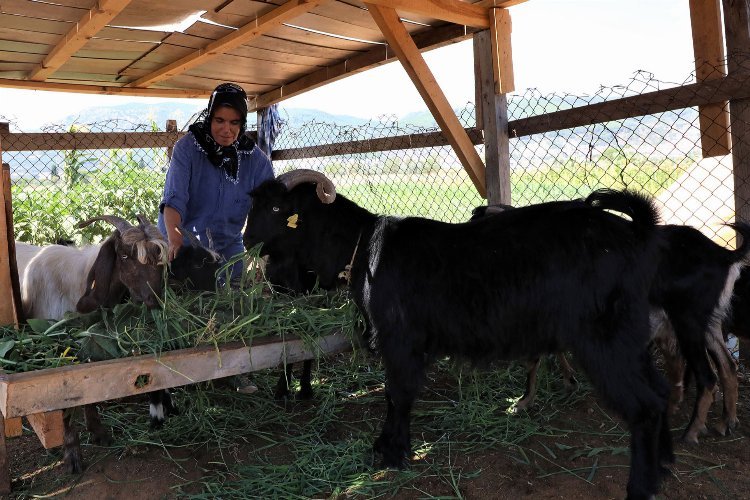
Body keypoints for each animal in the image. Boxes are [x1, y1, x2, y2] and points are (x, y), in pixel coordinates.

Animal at [245, 170, 668, 498]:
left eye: (278, 209)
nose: (247, 241)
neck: (363, 245)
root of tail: (634, 232)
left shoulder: (402, 342)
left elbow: (398, 395)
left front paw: (394, 454)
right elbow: (392, 396)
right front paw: (384, 447)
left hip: (606, 339)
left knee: (644, 407)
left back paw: (640, 487)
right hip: (630, 338)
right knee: (660, 394)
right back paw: (663, 468)